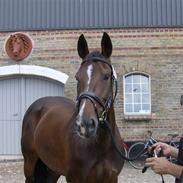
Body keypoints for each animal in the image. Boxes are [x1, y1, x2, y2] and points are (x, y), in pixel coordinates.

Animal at [21, 32, 124, 182]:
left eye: (106, 76)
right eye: (77, 77)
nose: (84, 124)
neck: (102, 144)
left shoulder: (112, 178)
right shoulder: (75, 178)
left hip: (52, 169)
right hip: (29, 164)